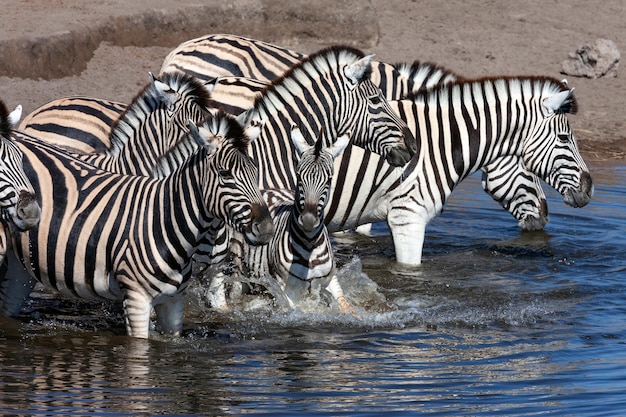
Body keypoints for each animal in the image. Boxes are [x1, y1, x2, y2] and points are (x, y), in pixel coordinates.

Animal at [1, 111, 272, 338]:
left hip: (20, 264)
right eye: (225, 174)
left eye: (255, 170)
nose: (266, 227)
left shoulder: (173, 301)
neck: (165, 220)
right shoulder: (136, 299)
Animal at [210, 127, 354, 312]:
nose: (308, 220)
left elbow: (346, 306)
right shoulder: (287, 288)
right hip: (238, 262)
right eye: (299, 176)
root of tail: (265, 190)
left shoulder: (330, 280)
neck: (310, 245)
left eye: (329, 180)